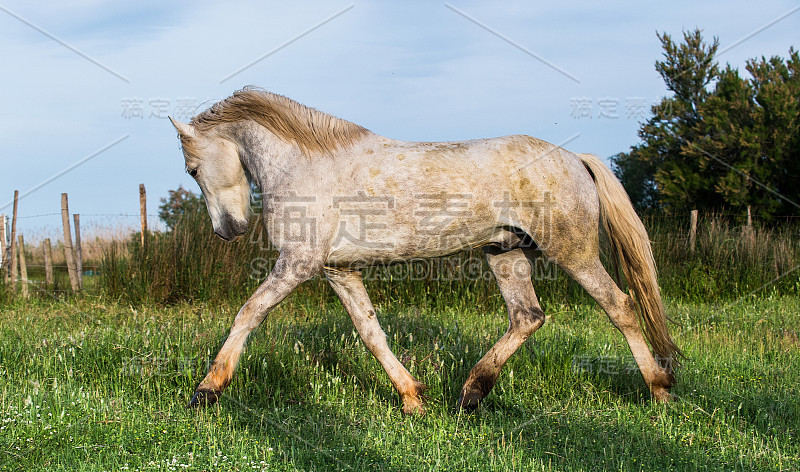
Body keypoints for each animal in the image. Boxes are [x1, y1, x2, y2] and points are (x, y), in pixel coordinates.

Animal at [170, 87, 680, 412]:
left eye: (192, 169)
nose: (228, 231)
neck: (306, 162)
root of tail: (576, 158)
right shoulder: (339, 271)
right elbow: (371, 333)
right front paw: (413, 399)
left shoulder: (297, 263)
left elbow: (249, 313)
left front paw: (206, 390)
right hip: (506, 254)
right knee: (528, 317)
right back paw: (471, 394)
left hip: (573, 252)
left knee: (621, 307)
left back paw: (660, 390)